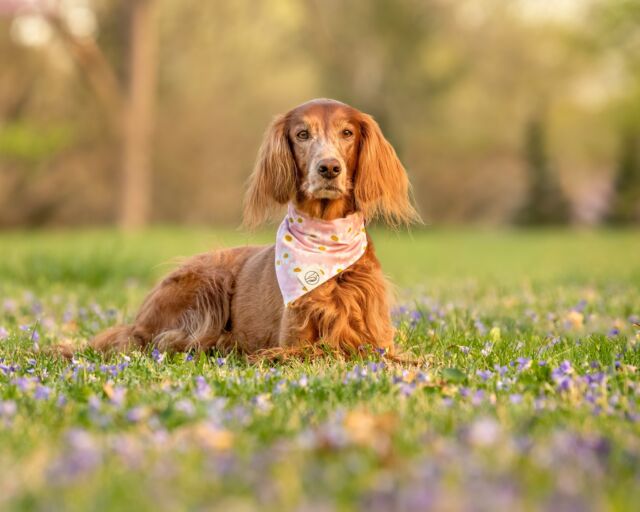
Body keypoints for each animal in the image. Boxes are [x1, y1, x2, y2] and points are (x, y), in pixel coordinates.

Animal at [84, 99, 420, 356]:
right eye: (302, 134)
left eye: (347, 132)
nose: (329, 168)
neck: (326, 238)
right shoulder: (294, 345)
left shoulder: (378, 342)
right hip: (210, 278)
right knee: (159, 340)